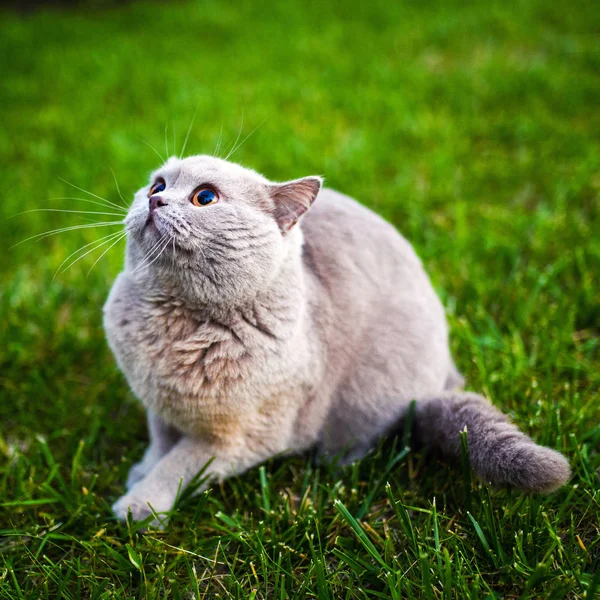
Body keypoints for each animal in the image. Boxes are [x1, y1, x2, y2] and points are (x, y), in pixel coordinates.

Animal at [104, 155, 572, 524]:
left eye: (205, 197)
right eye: (158, 183)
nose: (155, 199)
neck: (174, 322)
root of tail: (447, 373)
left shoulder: (245, 436)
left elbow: (180, 463)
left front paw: (139, 505)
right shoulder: (158, 403)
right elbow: (160, 444)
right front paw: (140, 472)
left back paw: (333, 462)